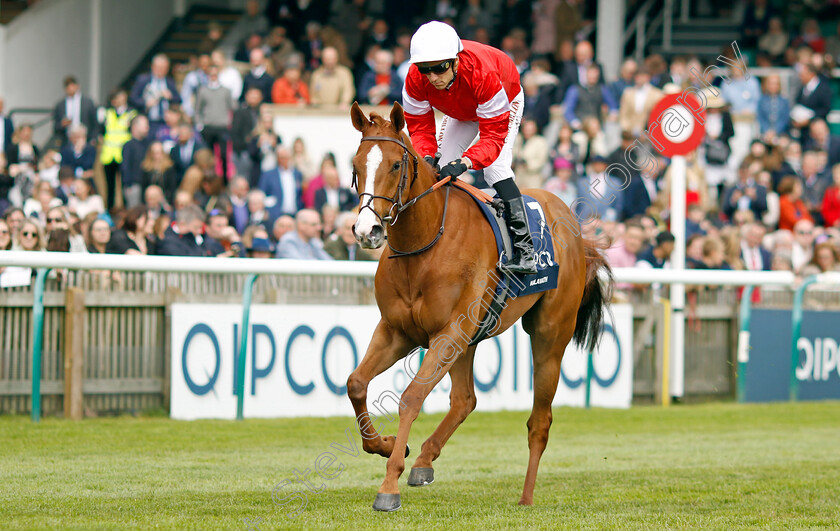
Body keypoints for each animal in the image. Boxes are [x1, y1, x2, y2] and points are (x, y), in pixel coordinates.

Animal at [344, 102, 612, 512]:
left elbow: (411, 398)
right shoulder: (398, 331)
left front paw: (389, 485)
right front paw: (390, 446)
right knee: (464, 400)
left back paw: (526, 496)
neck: (423, 244)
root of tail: (575, 227)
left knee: (539, 422)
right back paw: (424, 460)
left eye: (395, 164)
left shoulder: (448, 332)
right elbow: (356, 383)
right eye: (356, 165)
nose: (367, 231)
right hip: (468, 339)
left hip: (548, 335)